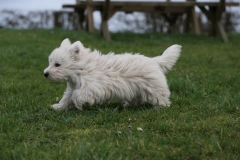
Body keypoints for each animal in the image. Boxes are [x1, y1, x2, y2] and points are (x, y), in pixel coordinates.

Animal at [43, 39, 182, 110]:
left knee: (161, 98)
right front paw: (58, 107)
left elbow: (77, 95)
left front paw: (78, 104)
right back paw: (129, 105)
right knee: (138, 98)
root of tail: (154, 61)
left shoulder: (92, 87)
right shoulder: (73, 86)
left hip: (154, 87)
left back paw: (160, 108)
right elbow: (66, 97)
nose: (45, 74)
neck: (82, 68)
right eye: (50, 62)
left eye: (57, 64)